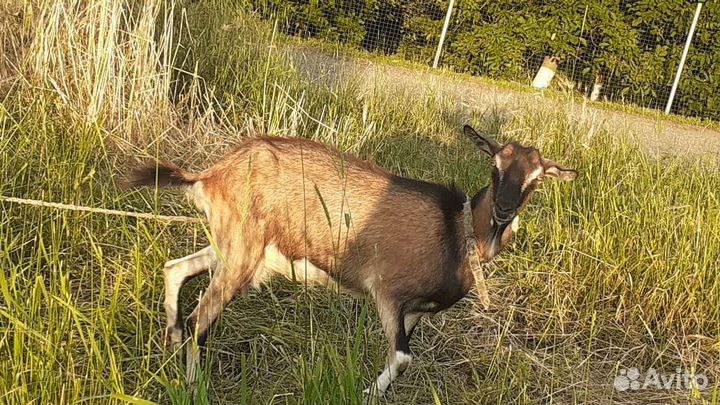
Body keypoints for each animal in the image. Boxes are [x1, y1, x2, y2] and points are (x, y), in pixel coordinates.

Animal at [123, 125, 576, 395]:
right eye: (495, 165)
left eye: (536, 178)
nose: (503, 210)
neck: (457, 231)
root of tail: (211, 175)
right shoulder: (388, 293)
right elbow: (403, 357)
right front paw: (366, 394)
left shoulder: (416, 313)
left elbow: (401, 359)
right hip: (240, 254)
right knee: (200, 317)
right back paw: (192, 385)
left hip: (235, 249)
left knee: (175, 270)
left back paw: (171, 342)